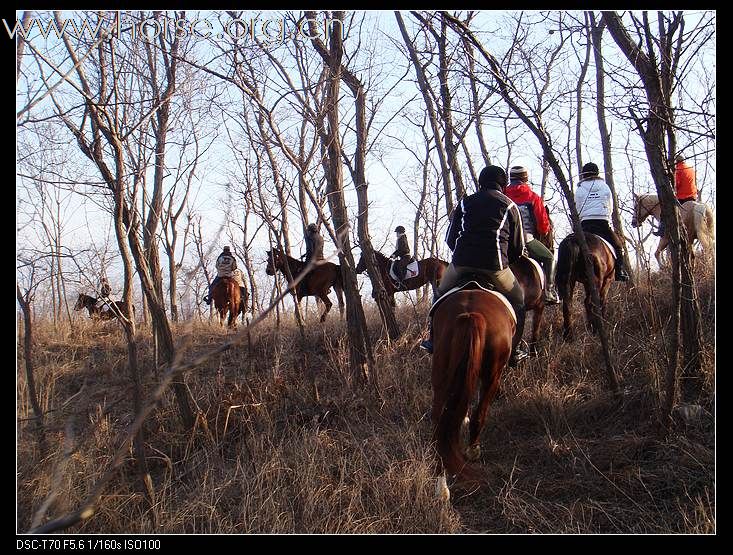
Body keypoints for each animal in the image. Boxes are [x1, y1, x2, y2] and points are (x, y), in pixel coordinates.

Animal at [428, 286, 516, 500]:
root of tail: (471, 314)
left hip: (441, 373)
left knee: (438, 423)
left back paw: (441, 487)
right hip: (492, 375)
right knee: (480, 413)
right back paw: (472, 450)